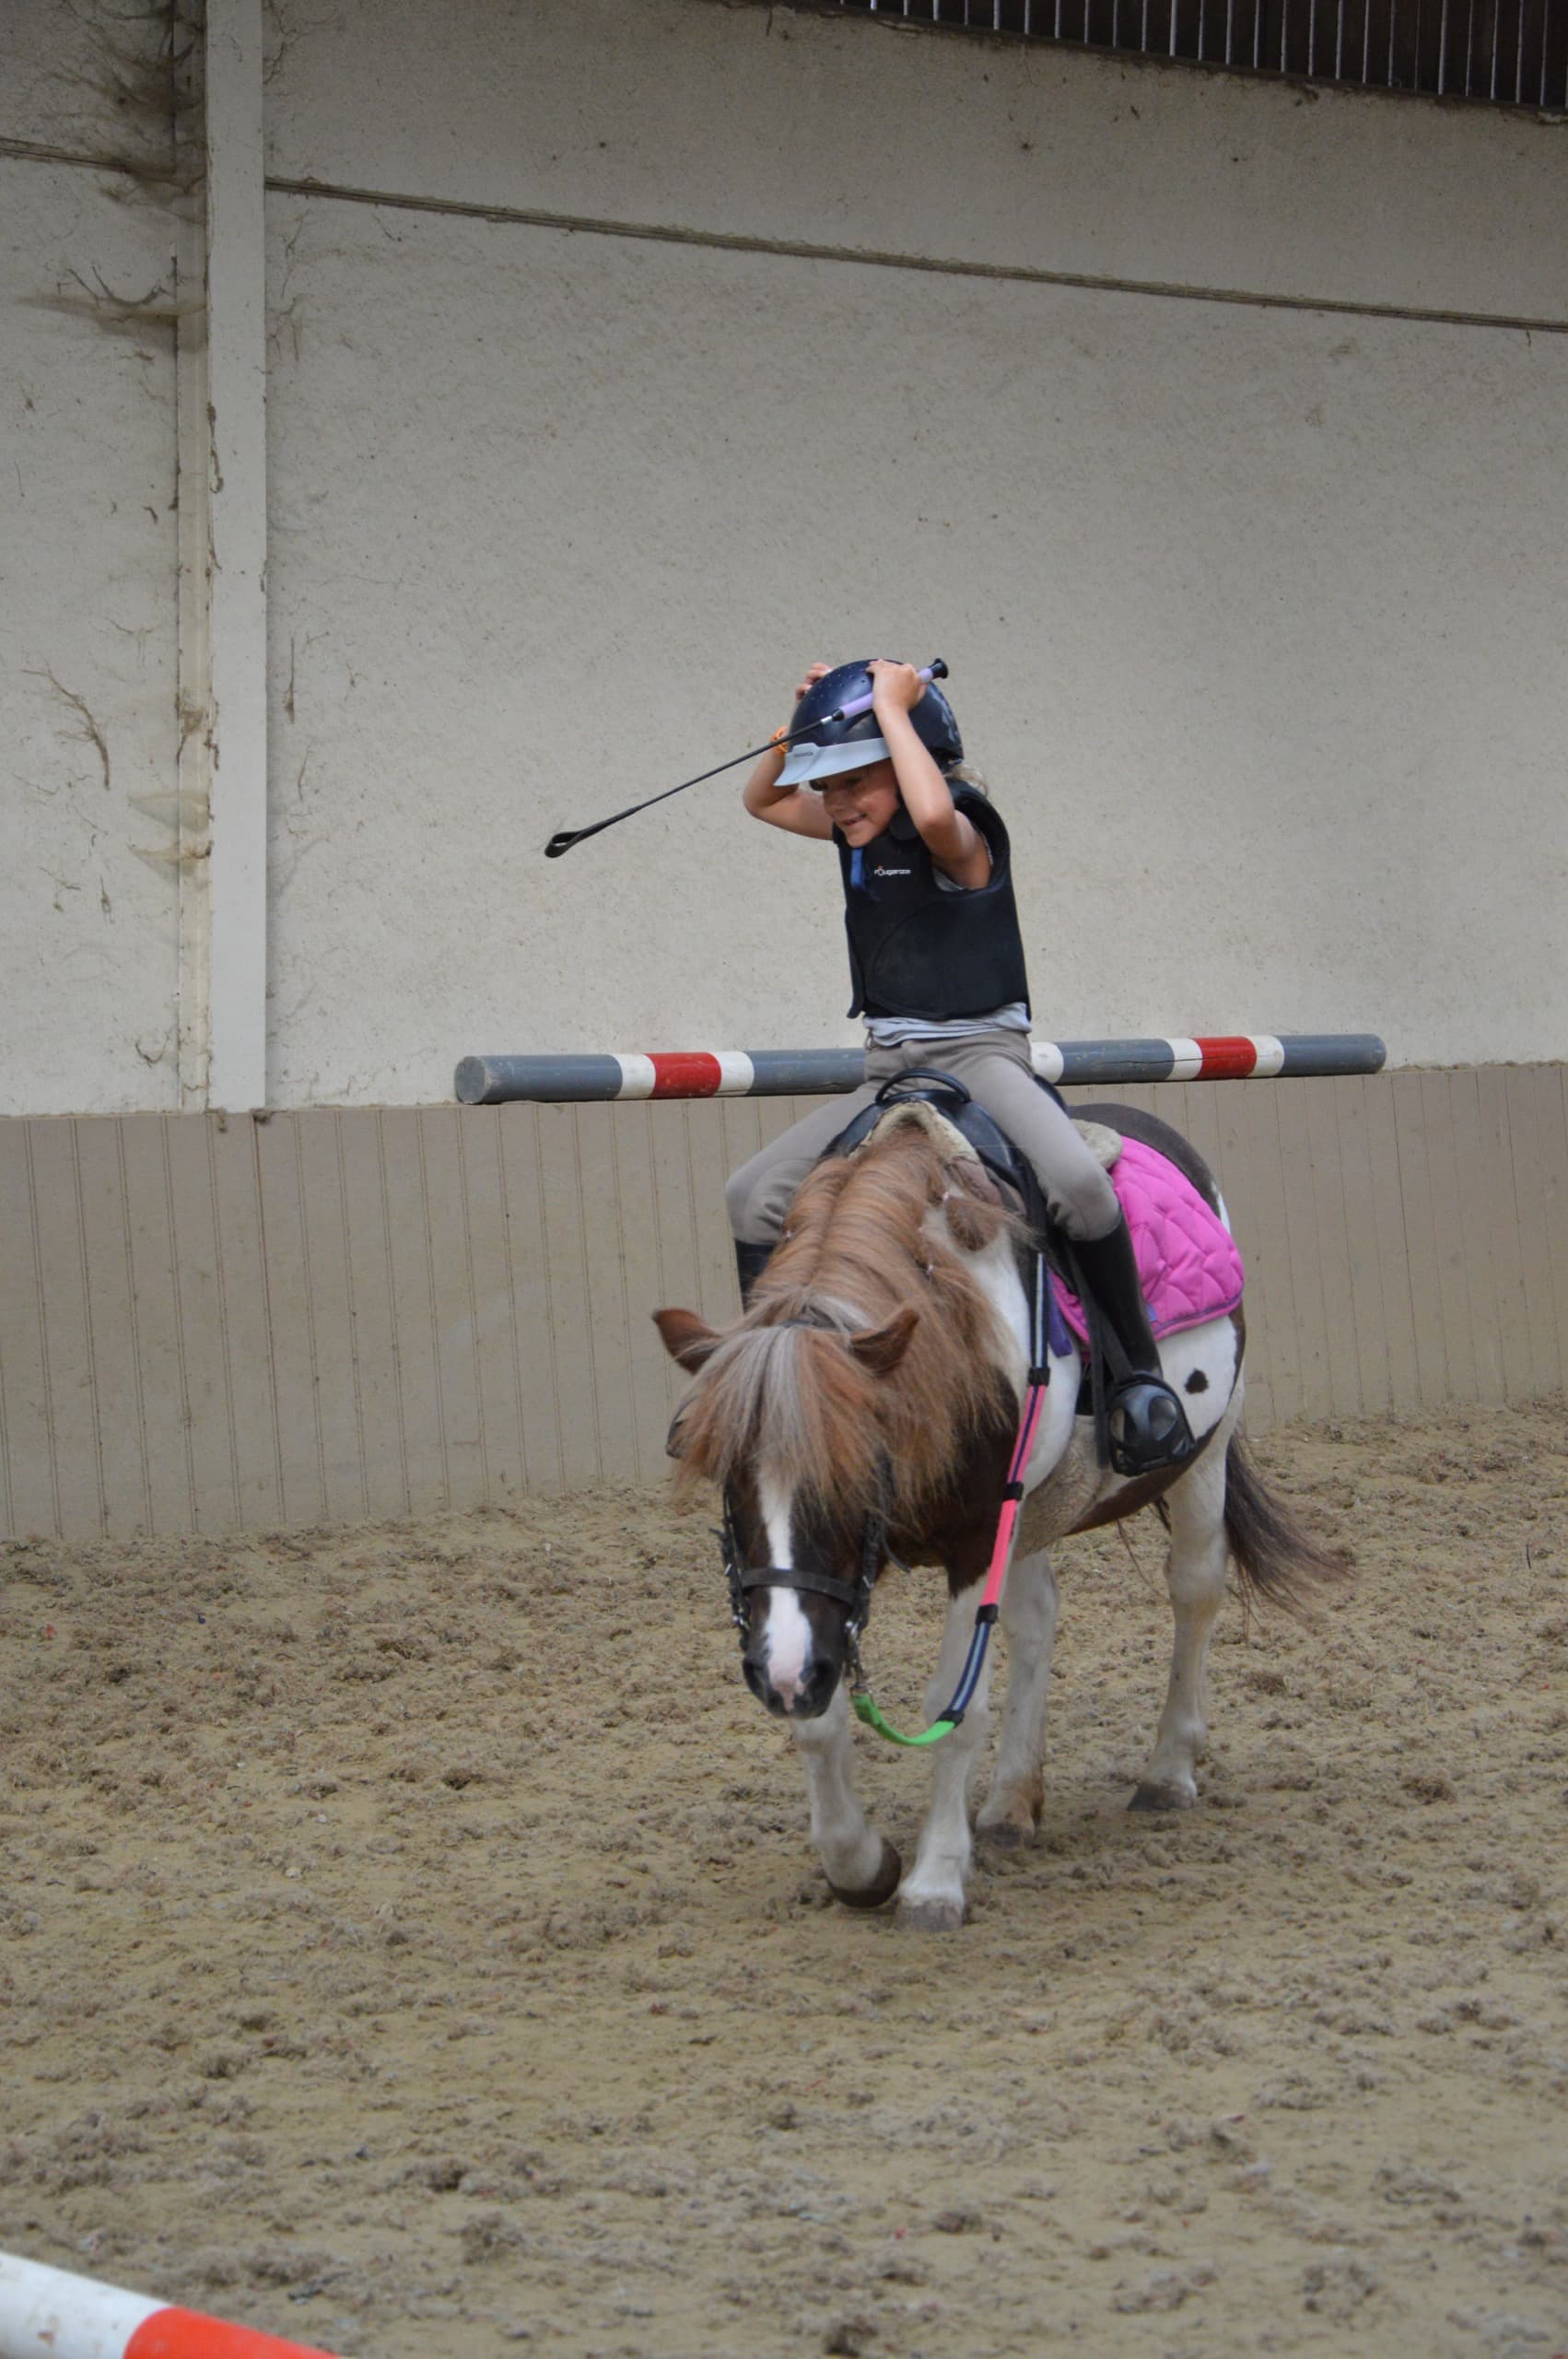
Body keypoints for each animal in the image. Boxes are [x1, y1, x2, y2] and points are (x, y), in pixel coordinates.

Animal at [654, 1098, 1342, 1932]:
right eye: (729, 1479)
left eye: (854, 1477)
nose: (779, 1672)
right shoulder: (825, 1601)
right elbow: (821, 1721)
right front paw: (860, 1864)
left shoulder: (976, 1539)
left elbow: (955, 1710)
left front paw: (933, 1881)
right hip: (1034, 1513)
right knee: (1037, 1618)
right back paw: (1013, 1802)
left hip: (1200, 1464)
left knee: (1195, 1590)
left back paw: (1168, 1770)